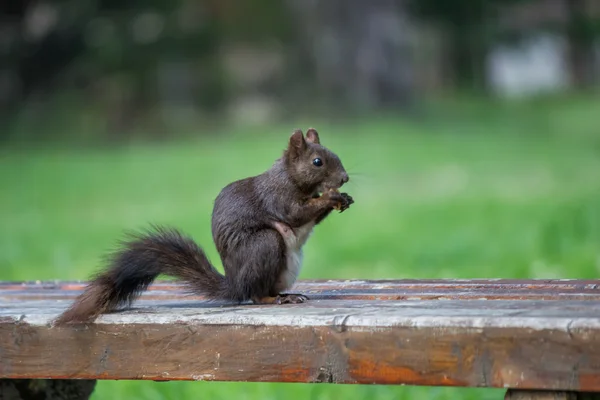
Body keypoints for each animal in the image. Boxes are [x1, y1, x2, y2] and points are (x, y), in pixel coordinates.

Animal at [54, 128, 354, 324]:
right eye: (317, 162)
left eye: (334, 154)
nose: (344, 178)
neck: (290, 177)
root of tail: (235, 284)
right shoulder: (277, 197)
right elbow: (296, 214)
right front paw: (330, 197)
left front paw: (343, 198)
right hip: (264, 245)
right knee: (256, 295)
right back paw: (276, 299)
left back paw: (287, 294)